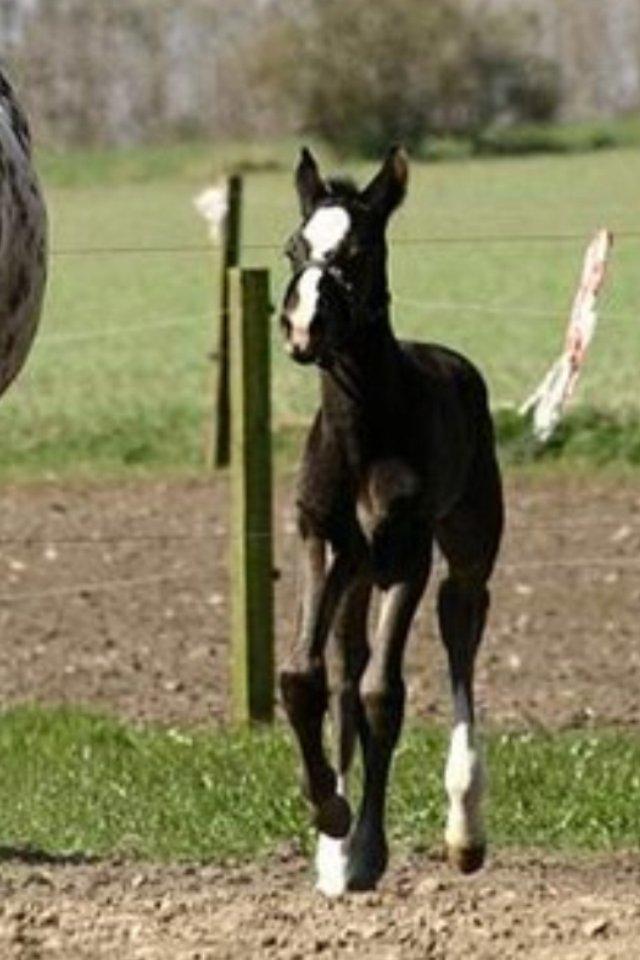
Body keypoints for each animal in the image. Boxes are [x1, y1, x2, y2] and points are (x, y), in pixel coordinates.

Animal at [278, 146, 502, 896]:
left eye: (359, 251)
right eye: (295, 248)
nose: (303, 327)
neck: (360, 435)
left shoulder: (406, 551)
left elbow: (385, 693)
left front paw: (370, 850)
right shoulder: (318, 538)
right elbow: (305, 676)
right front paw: (330, 816)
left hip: (464, 545)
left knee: (460, 624)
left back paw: (464, 830)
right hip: (355, 569)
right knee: (347, 664)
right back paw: (333, 855)